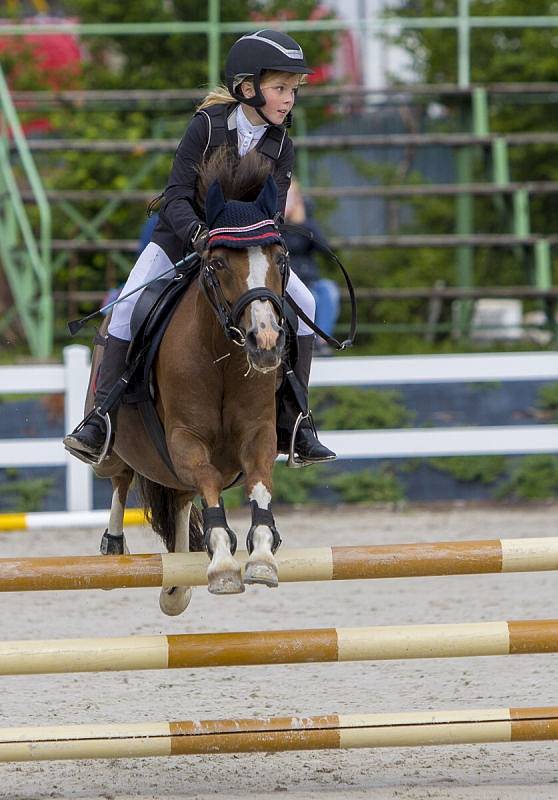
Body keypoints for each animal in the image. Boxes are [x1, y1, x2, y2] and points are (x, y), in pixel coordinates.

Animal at [89, 148, 290, 612]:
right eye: (217, 263)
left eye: (281, 259)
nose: (265, 342)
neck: (222, 360)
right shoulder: (184, 439)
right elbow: (210, 481)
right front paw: (223, 565)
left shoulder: (259, 434)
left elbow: (260, 483)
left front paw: (262, 557)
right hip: (117, 449)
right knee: (121, 478)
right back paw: (113, 546)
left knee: (179, 499)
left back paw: (176, 585)